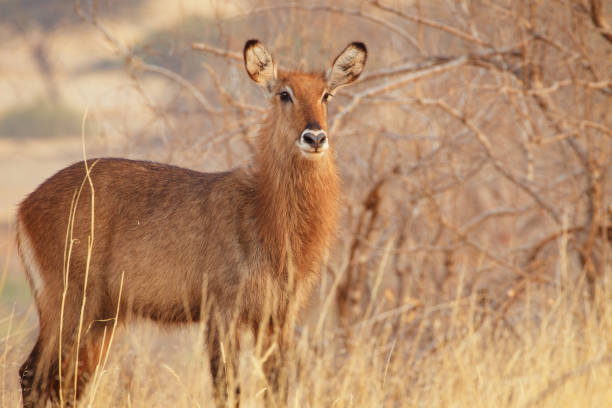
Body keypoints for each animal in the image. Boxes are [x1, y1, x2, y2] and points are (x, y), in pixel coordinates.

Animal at [15, 39, 368, 408]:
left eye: (326, 95)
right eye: (284, 94)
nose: (314, 137)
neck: (262, 212)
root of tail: (25, 205)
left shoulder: (277, 318)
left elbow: (279, 389)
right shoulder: (222, 311)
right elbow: (227, 390)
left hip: (101, 318)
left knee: (66, 384)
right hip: (68, 303)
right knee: (32, 374)